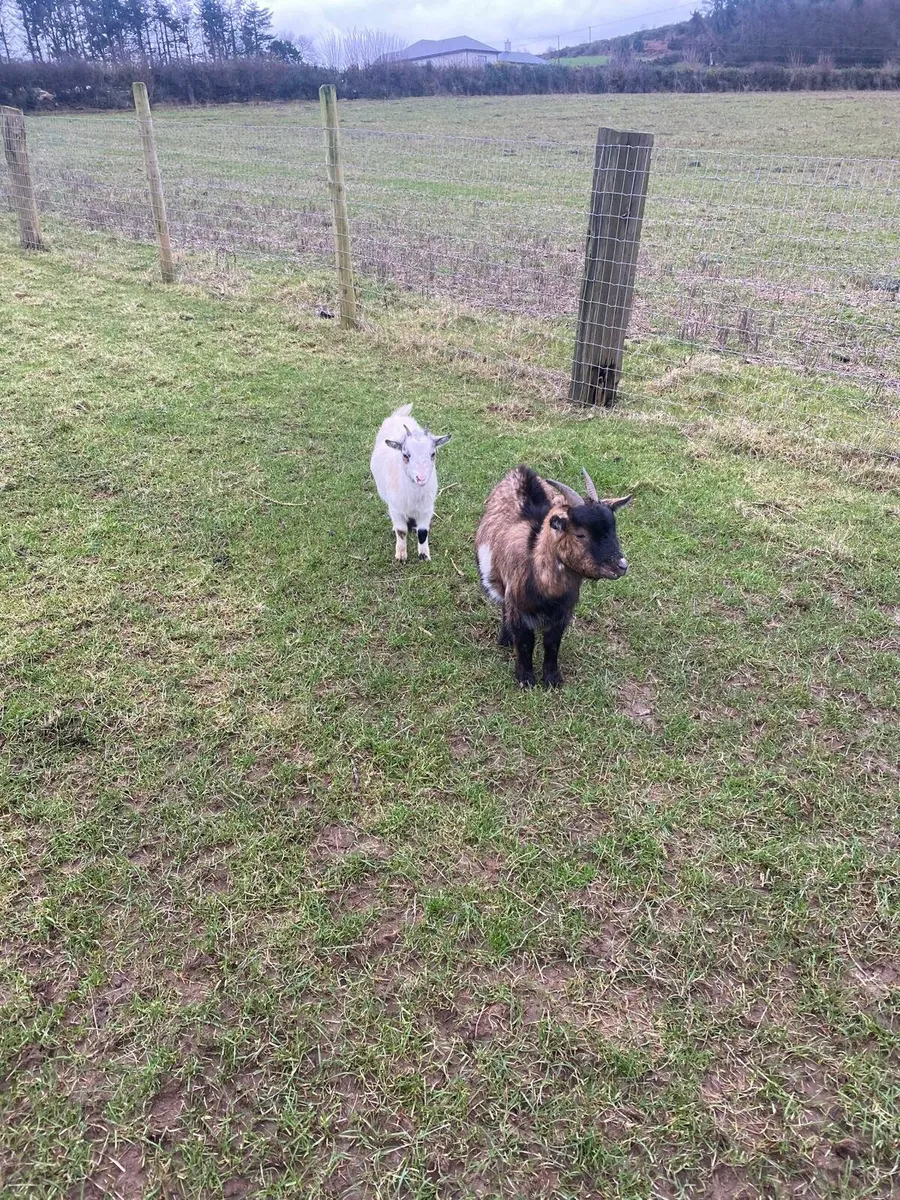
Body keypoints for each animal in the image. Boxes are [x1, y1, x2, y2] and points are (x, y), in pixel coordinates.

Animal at [370, 403, 451, 561]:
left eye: (433, 454)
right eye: (405, 455)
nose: (421, 478)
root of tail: (398, 416)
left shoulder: (427, 509)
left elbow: (423, 532)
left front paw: (424, 555)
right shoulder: (395, 508)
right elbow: (401, 531)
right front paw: (401, 556)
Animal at [476, 465, 632, 687]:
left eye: (613, 529)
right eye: (580, 534)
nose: (621, 565)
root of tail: (520, 470)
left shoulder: (562, 613)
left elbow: (552, 643)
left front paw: (552, 679)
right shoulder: (518, 607)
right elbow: (525, 642)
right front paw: (525, 679)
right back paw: (505, 639)